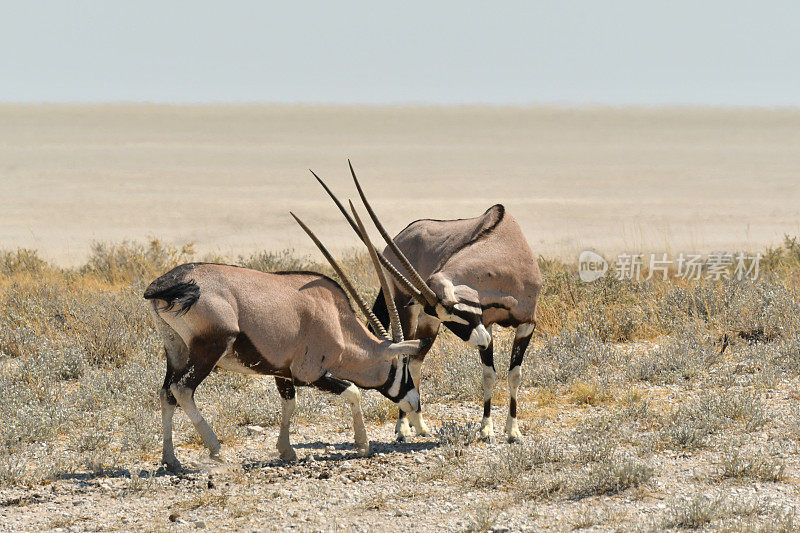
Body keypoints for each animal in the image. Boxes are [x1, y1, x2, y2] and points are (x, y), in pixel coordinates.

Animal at [144, 206, 432, 472]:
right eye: (402, 363)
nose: (414, 402)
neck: (337, 320)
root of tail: (167, 284)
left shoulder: (282, 372)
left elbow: (289, 404)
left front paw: (286, 451)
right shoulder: (309, 374)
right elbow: (353, 391)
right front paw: (363, 445)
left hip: (176, 349)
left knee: (166, 393)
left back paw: (171, 460)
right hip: (209, 349)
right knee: (182, 389)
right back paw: (215, 450)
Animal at [314, 161, 544, 440]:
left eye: (459, 312)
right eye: (451, 319)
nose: (481, 341)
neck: (504, 253)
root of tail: (402, 236)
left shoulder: (526, 323)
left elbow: (514, 375)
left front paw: (513, 431)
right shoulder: (487, 323)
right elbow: (489, 375)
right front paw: (486, 428)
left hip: (427, 325)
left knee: (415, 360)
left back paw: (418, 424)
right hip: (407, 312)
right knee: (407, 357)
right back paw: (404, 426)